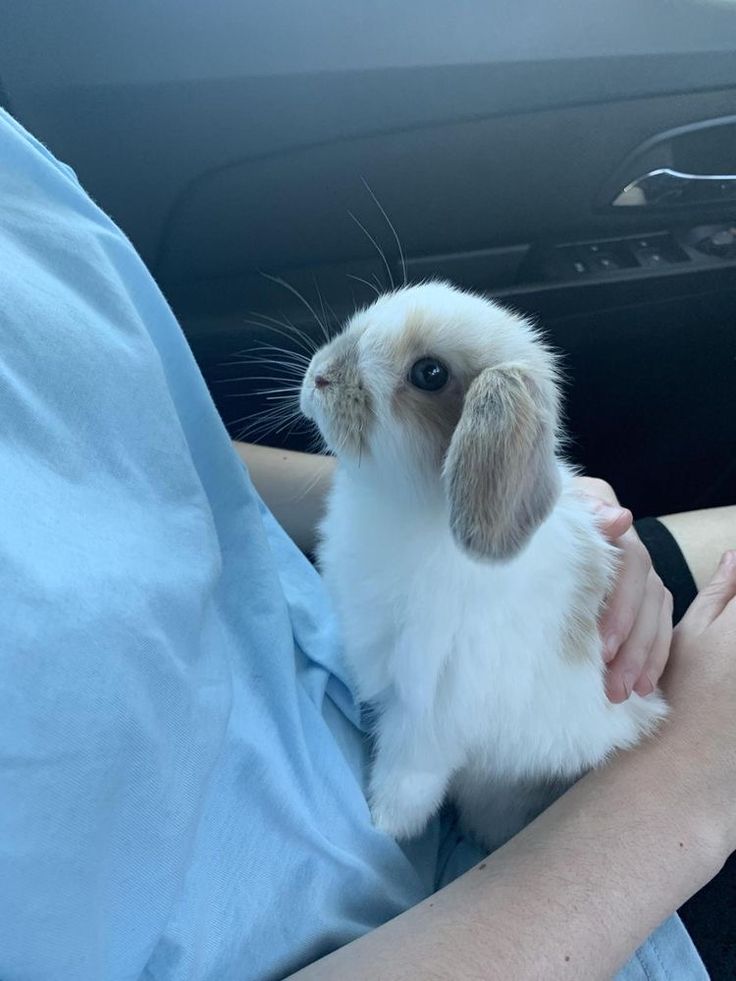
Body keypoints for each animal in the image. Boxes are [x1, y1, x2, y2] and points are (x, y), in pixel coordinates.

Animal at [300, 282, 668, 848]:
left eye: (429, 373)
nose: (319, 375)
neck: (407, 507)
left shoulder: (429, 715)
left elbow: (406, 783)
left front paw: (384, 829)